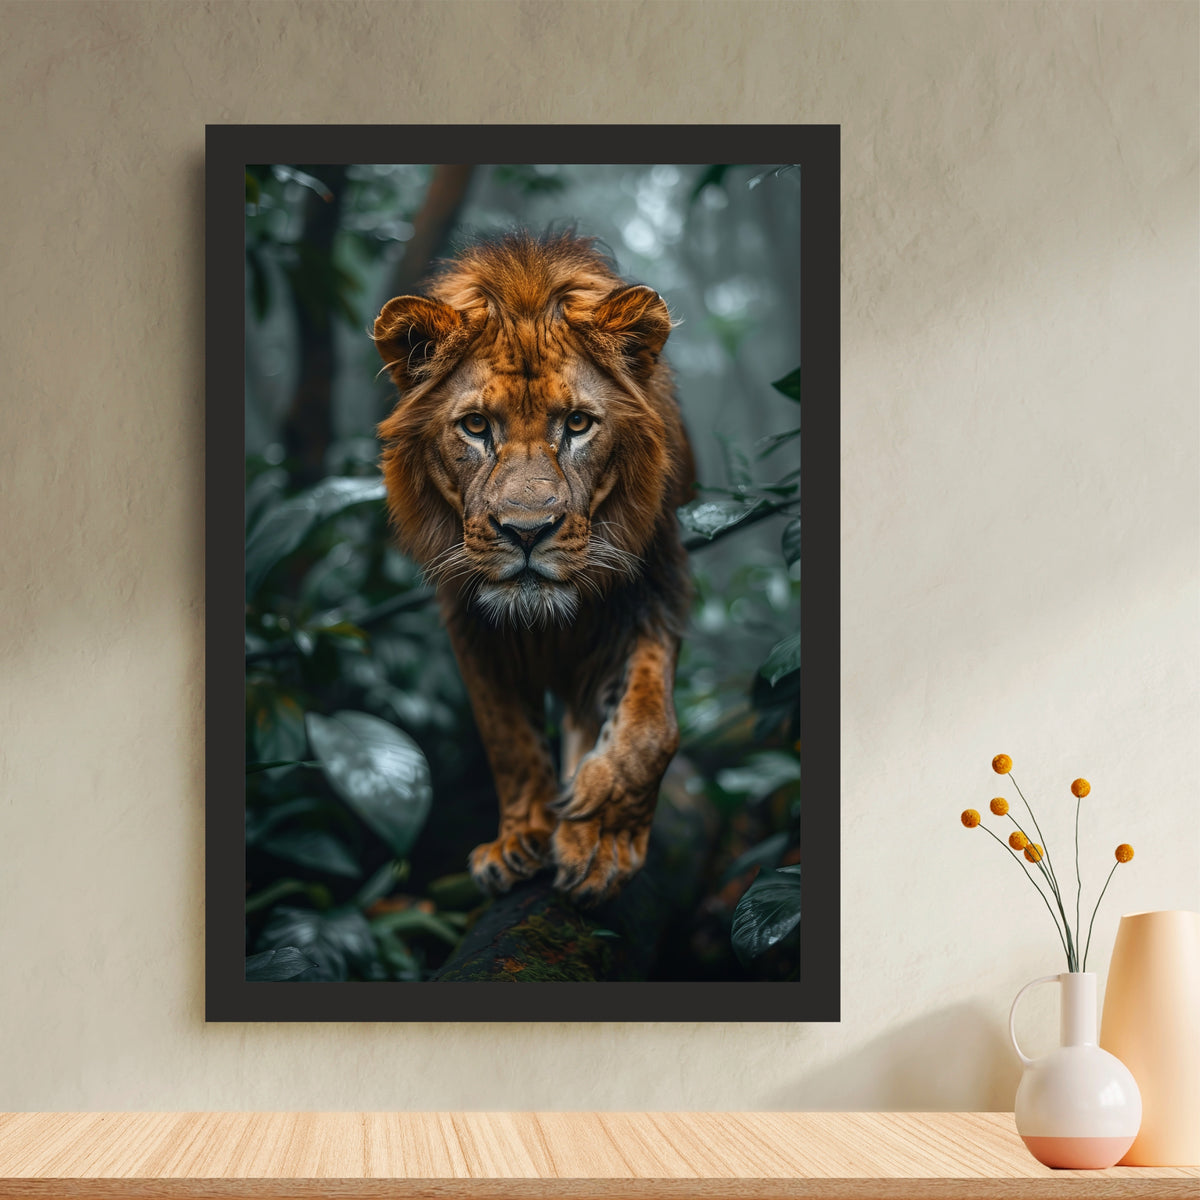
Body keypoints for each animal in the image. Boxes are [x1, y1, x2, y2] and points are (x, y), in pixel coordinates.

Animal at [374, 232, 693, 904]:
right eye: (475, 426)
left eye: (576, 423)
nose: (526, 531)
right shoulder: (467, 616)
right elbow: (507, 736)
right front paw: (522, 838)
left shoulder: (654, 587)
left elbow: (650, 726)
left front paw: (601, 838)